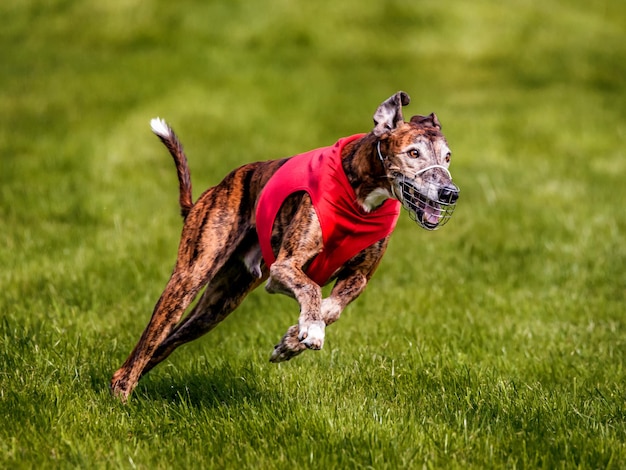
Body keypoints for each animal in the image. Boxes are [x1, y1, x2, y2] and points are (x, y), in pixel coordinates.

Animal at [108, 91, 458, 400]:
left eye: (447, 156)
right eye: (413, 153)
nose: (450, 193)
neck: (360, 194)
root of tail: (207, 196)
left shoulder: (357, 278)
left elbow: (332, 308)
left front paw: (292, 340)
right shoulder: (283, 268)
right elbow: (312, 290)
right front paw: (309, 330)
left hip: (219, 304)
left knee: (163, 344)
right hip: (189, 277)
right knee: (147, 343)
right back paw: (121, 396)